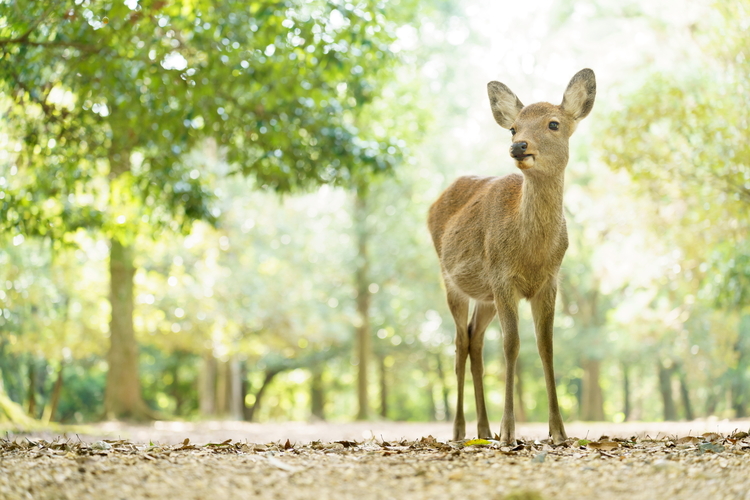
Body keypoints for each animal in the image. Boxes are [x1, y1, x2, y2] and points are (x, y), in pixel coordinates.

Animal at [428, 68, 600, 444]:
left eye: (554, 123)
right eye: (513, 127)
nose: (518, 145)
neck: (531, 253)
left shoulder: (549, 281)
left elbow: (546, 345)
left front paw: (558, 431)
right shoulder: (502, 277)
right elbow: (511, 345)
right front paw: (509, 431)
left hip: (485, 296)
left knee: (475, 341)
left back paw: (484, 429)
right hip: (452, 281)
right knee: (459, 343)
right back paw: (461, 430)